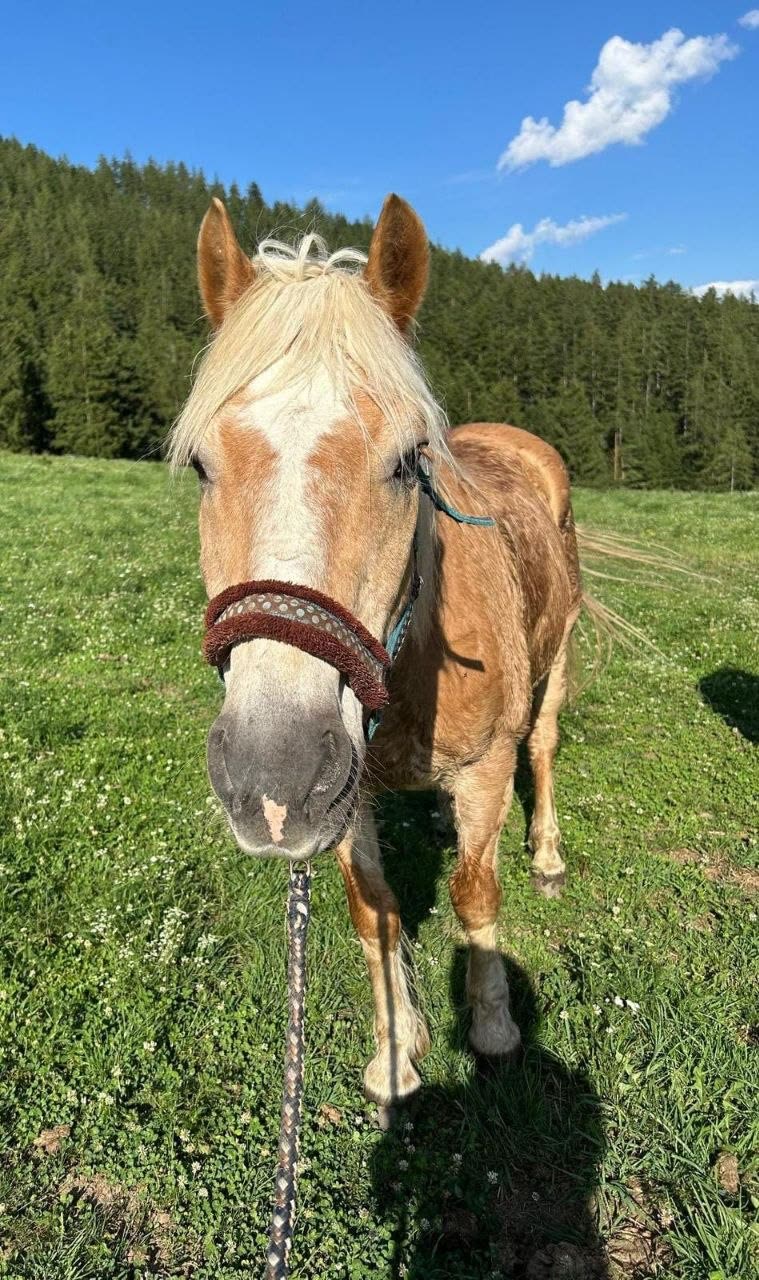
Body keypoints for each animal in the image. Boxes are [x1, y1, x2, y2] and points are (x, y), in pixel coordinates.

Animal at [169, 194, 585, 1110]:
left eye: (403, 463)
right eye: (203, 466)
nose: (273, 774)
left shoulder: (483, 768)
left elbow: (475, 892)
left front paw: (493, 1028)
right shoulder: (345, 792)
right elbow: (375, 908)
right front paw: (397, 1049)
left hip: (559, 654)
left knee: (542, 747)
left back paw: (545, 853)